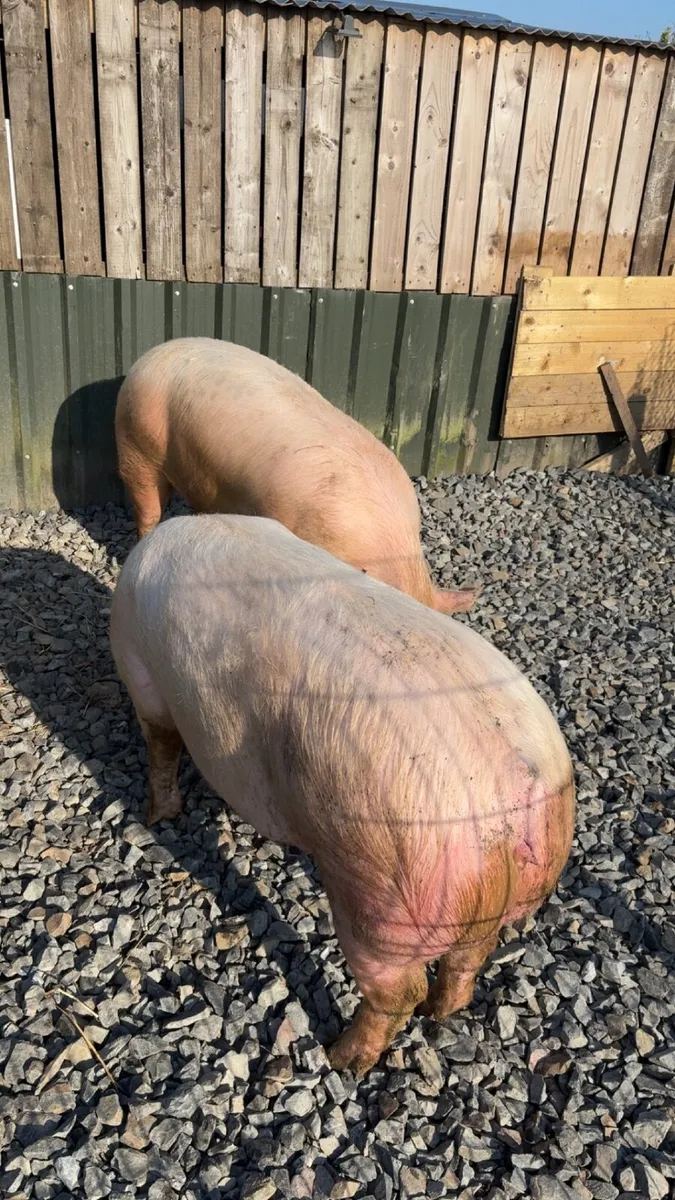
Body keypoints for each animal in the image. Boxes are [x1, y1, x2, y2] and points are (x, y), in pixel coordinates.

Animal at [110, 514, 575, 1077]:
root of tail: (505, 799)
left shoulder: (142, 676)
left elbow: (160, 747)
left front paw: (156, 817)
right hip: (474, 905)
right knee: (468, 960)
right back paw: (441, 1015)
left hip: (383, 896)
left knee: (398, 993)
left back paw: (339, 1059)